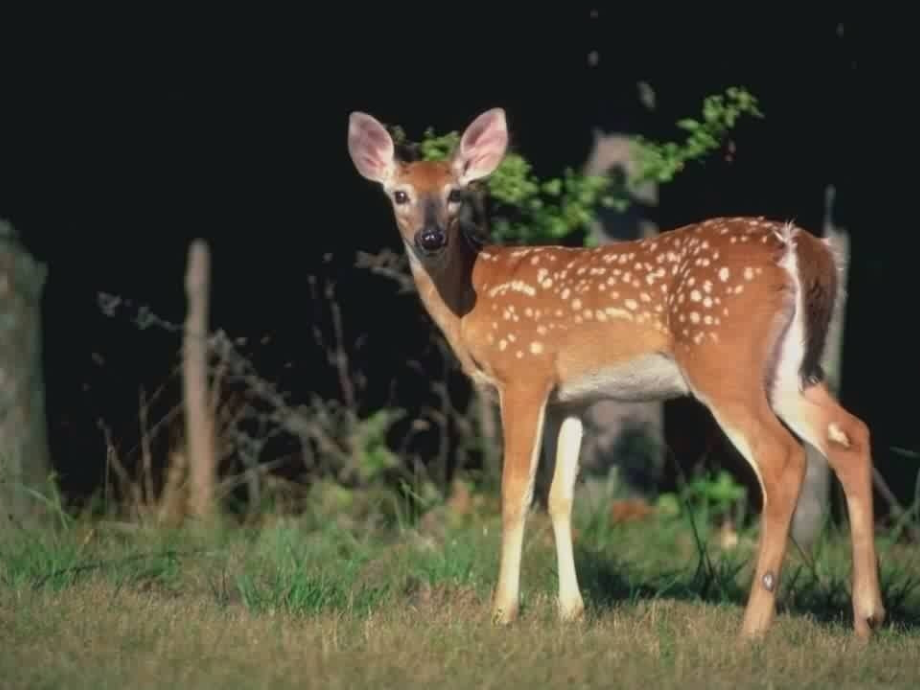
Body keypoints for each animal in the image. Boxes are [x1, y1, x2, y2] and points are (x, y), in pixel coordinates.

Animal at [346, 106, 886, 640]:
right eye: (400, 195)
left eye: (455, 193)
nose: (430, 238)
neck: (473, 298)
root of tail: (801, 246)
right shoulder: (572, 398)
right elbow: (561, 496)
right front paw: (572, 610)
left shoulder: (524, 373)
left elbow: (515, 490)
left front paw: (503, 611)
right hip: (791, 368)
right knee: (849, 432)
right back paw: (867, 615)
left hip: (721, 359)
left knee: (784, 456)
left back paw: (754, 624)